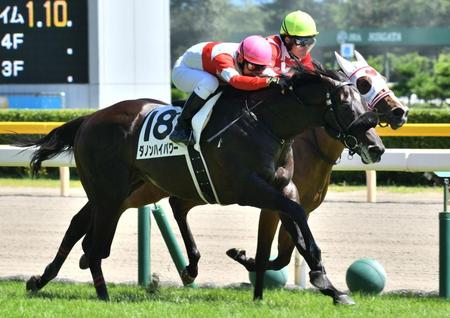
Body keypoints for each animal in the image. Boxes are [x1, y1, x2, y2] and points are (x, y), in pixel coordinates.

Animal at [23, 65, 384, 304]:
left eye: (365, 101)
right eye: (345, 103)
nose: (377, 147)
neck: (266, 124)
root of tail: (89, 118)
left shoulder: (283, 188)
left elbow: (297, 229)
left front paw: (331, 288)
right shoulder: (248, 189)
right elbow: (294, 217)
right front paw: (317, 279)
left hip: (123, 191)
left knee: (80, 226)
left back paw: (41, 280)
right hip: (110, 193)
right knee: (95, 243)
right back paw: (101, 293)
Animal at [227, 53, 410, 284]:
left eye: (383, 77)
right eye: (364, 84)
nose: (400, 111)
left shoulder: (302, 208)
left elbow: (284, 256)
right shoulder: (273, 205)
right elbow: (270, 253)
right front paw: (244, 258)